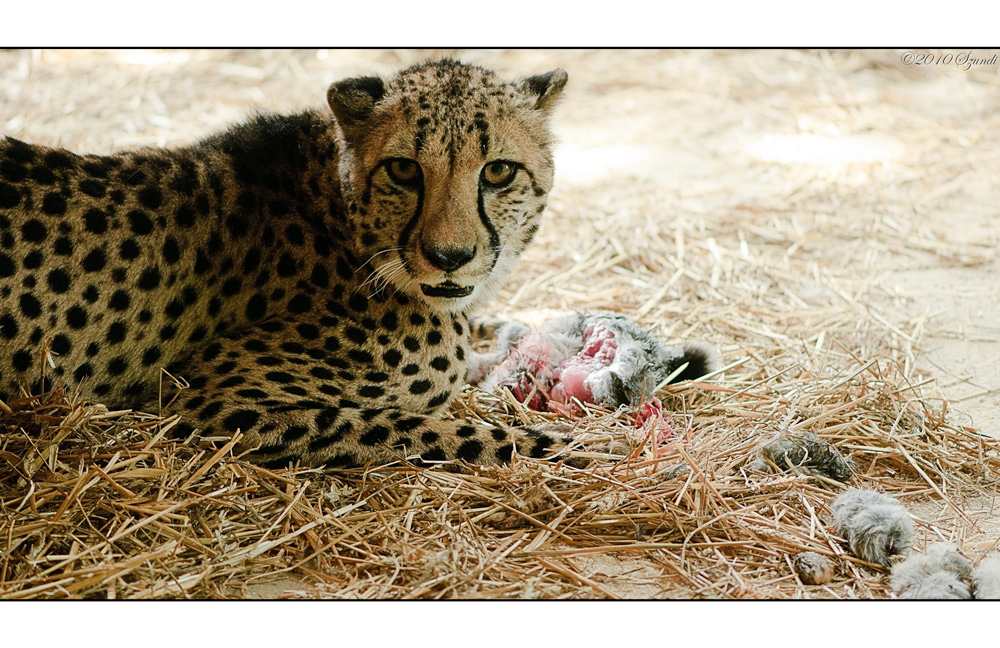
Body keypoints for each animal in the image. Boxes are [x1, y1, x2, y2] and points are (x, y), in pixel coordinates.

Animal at [1, 59, 580, 466]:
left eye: (499, 171)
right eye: (403, 170)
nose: (450, 257)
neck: (340, 215)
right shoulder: (206, 398)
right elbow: (433, 429)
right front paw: (571, 447)